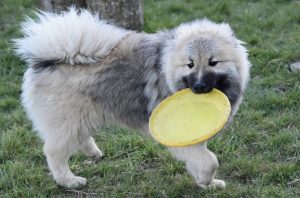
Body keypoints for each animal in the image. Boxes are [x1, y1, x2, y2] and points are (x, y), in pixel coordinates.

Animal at [14, 8, 250, 189]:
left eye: (213, 62)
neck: (168, 69)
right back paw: (69, 181)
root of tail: (49, 60)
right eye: (190, 64)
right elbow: (210, 161)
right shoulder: (181, 137)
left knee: (77, 139)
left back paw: (92, 152)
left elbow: (203, 160)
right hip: (70, 120)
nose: (199, 87)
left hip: (82, 117)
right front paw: (207, 180)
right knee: (54, 151)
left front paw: (207, 184)